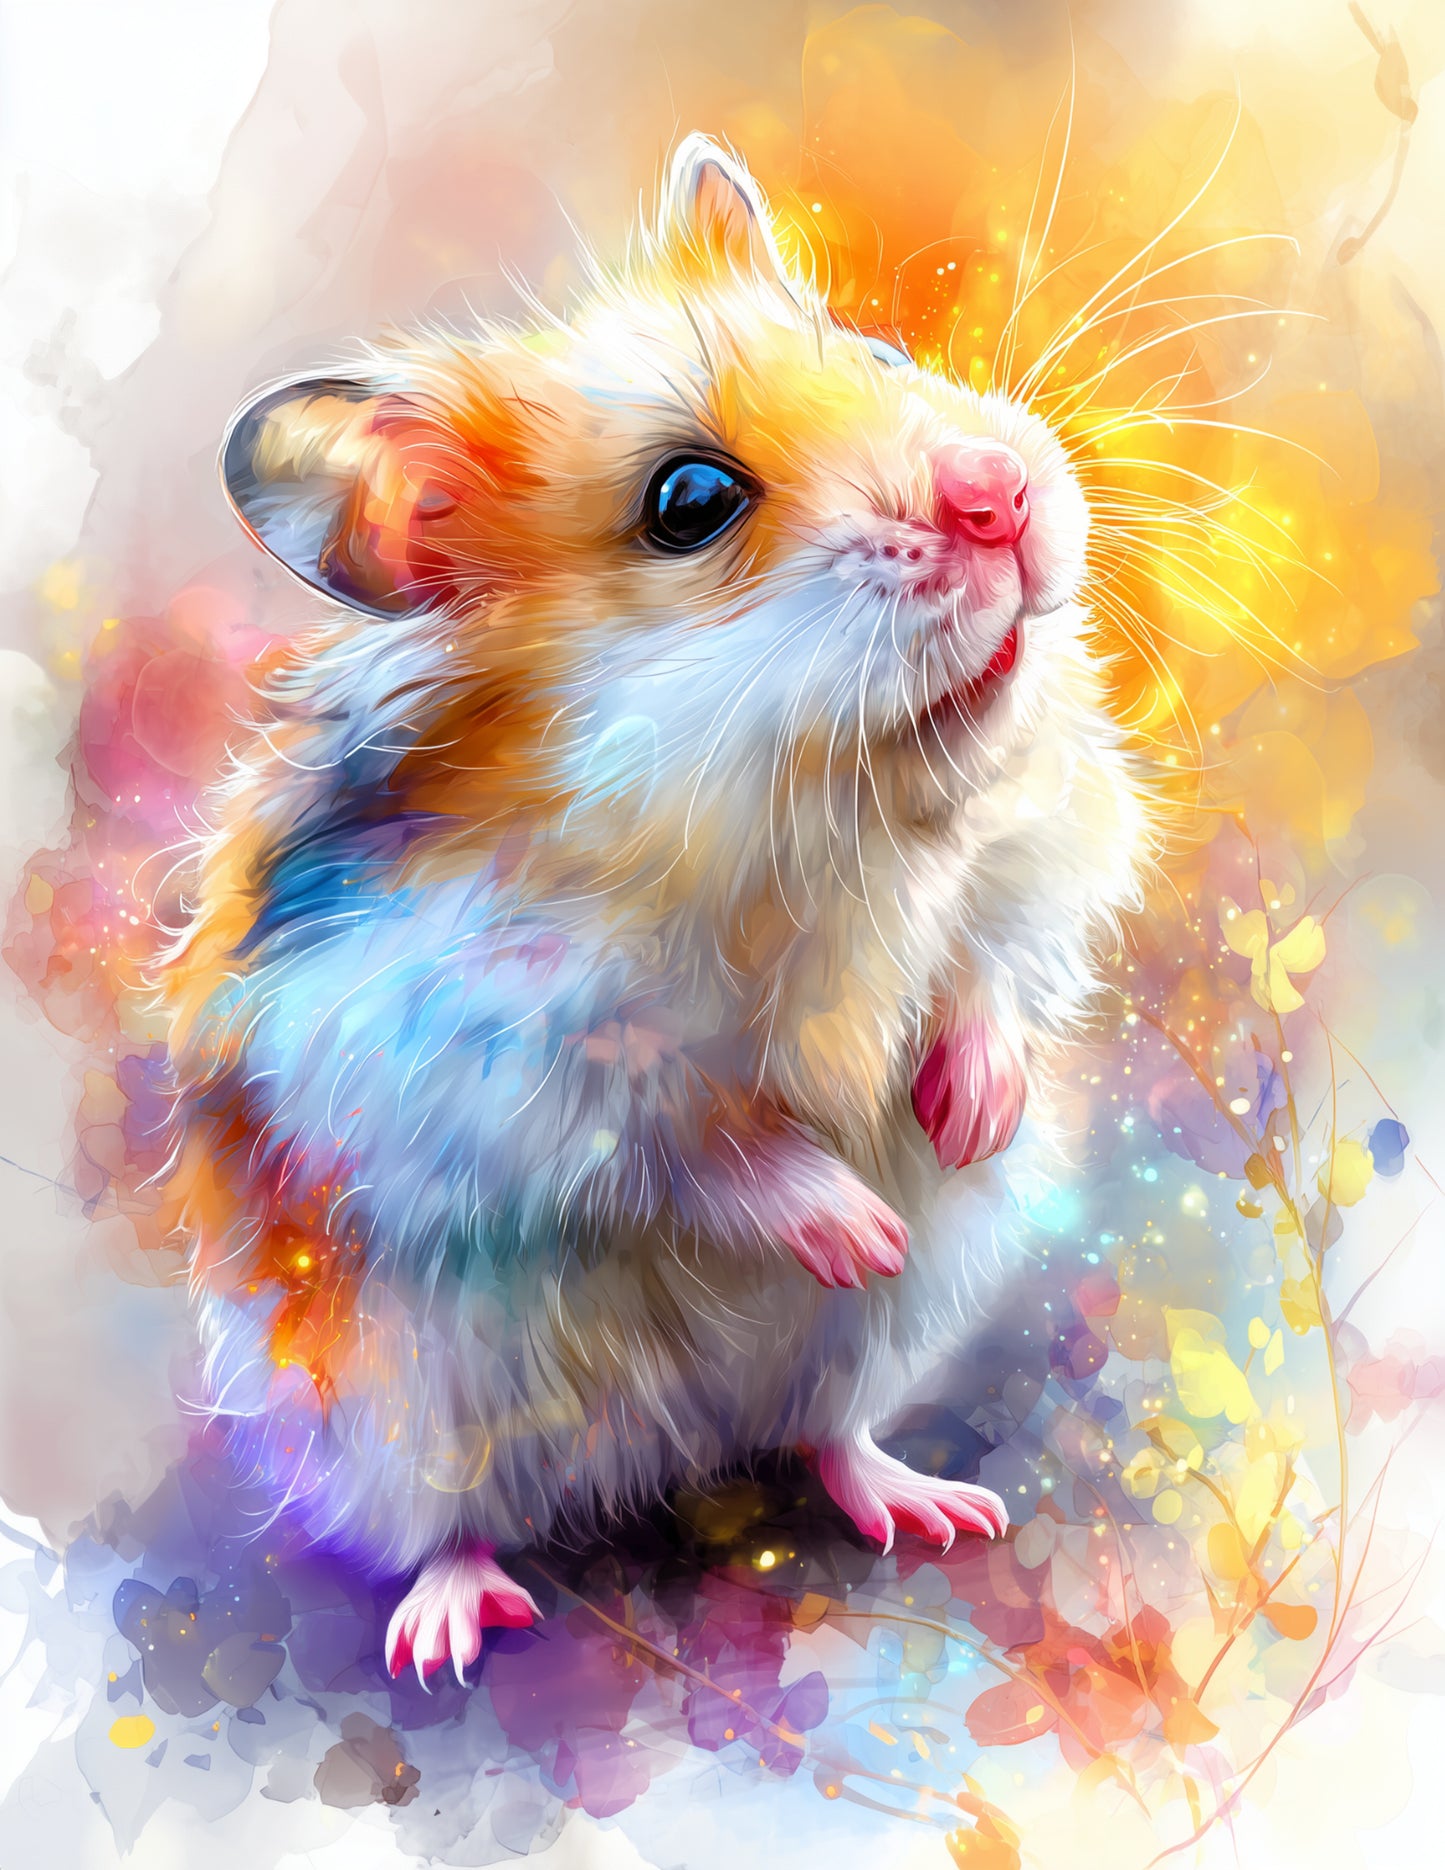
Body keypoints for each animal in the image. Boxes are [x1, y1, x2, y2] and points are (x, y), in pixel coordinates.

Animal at [156, 134, 1146, 1684]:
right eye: (689, 502)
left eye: (875, 350)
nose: (998, 493)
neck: (826, 807)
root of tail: (656, 1456)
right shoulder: (487, 1051)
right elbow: (685, 1137)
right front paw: (860, 1221)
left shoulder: (1041, 837)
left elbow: (994, 965)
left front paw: (964, 1117)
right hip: (395, 1413)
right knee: (449, 1520)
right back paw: (449, 1627)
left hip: (862, 1349)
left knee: (824, 1432)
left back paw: (934, 1503)